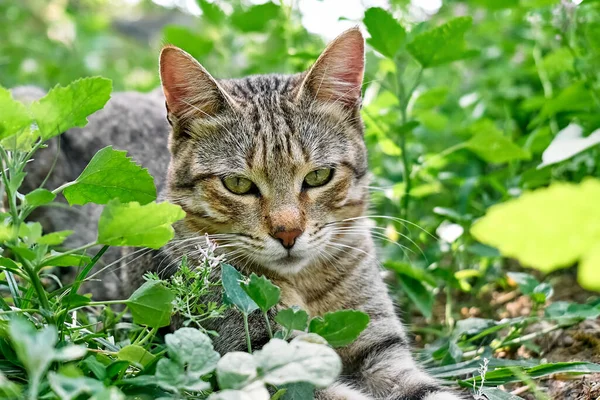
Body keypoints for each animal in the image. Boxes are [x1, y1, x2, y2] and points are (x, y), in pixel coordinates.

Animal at [14, 28, 464, 400]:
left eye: (318, 176)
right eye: (238, 185)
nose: (288, 233)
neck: (303, 287)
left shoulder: (381, 348)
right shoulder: (261, 360)